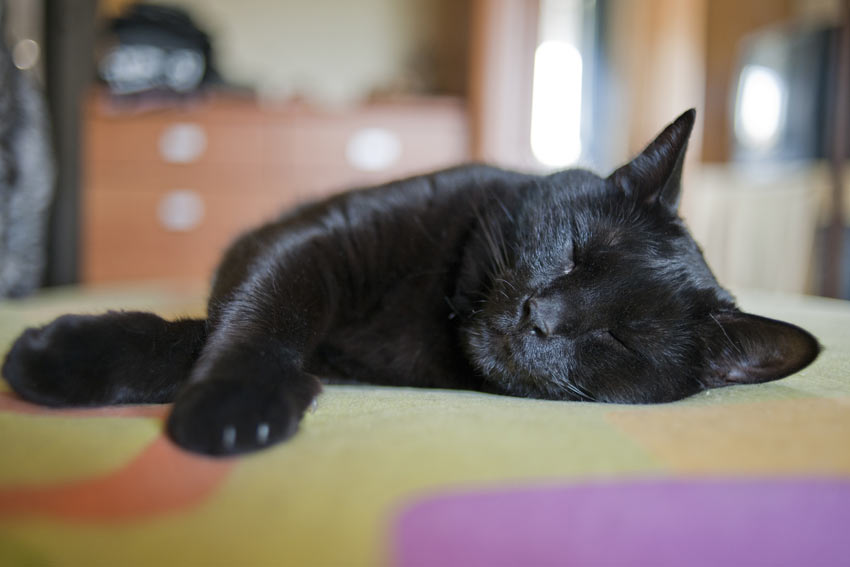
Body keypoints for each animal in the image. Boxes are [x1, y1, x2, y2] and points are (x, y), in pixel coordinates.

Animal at [1, 110, 820, 458]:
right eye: (575, 254)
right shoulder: (304, 245)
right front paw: (232, 399)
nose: (540, 313)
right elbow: (254, 320)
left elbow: (204, 338)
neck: (437, 311)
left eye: (620, 338)